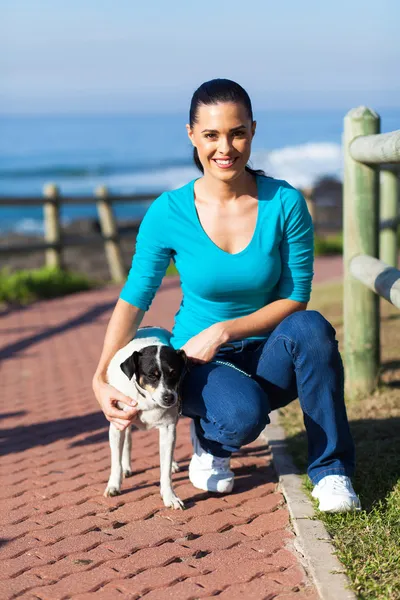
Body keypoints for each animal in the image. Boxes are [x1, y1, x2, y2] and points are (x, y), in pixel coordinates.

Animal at [104, 326, 187, 508]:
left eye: (174, 373)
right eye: (151, 375)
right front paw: (113, 485)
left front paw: (170, 496)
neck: (147, 400)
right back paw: (126, 466)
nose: (169, 398)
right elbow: (115, 461)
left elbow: (165, 469)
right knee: (127, 440)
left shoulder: (168, 428)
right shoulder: (117, 424)